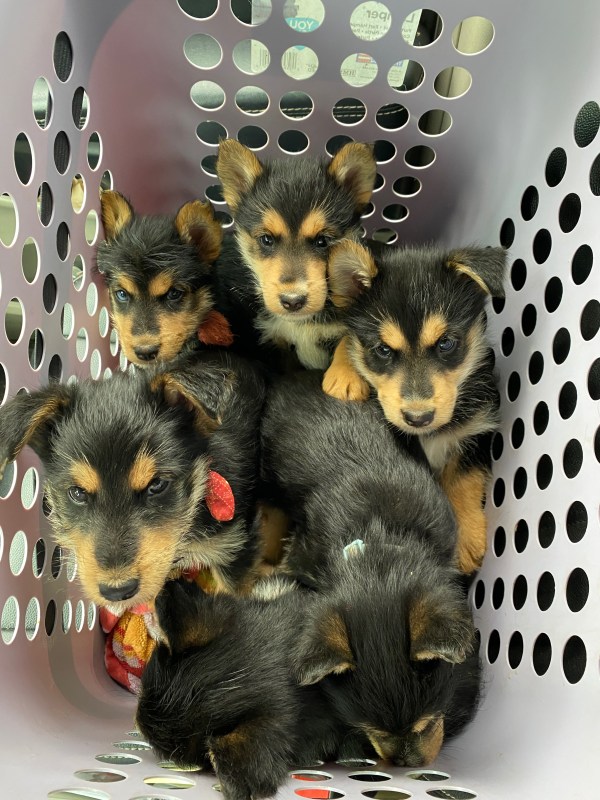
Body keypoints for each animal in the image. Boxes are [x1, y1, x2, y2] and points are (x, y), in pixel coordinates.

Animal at [322, 242, 507, 573]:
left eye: (446, 343)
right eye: (383, 350)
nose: (418, 418)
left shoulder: (478, 430)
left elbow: (463, 479)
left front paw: (467, 539)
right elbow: (348, 338)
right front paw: (344, 375)